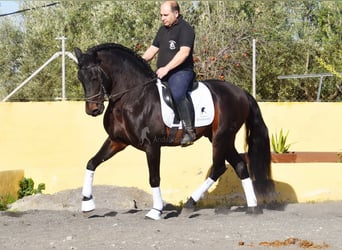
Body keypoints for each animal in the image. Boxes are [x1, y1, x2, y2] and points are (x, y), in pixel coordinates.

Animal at [75, 43, 272, 221]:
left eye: (94, 76)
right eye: (80, 77)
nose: (92, 110)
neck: (132, 97)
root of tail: (241, 92)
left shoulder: (152, 145)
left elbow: (154, 178)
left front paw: (155, 211)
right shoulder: (117, 141)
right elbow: (91, 163)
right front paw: (87, 204)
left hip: (221, 137)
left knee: (218, 168)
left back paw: (190, 204)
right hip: (221, 138)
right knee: (240, 166)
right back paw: (253, 207)